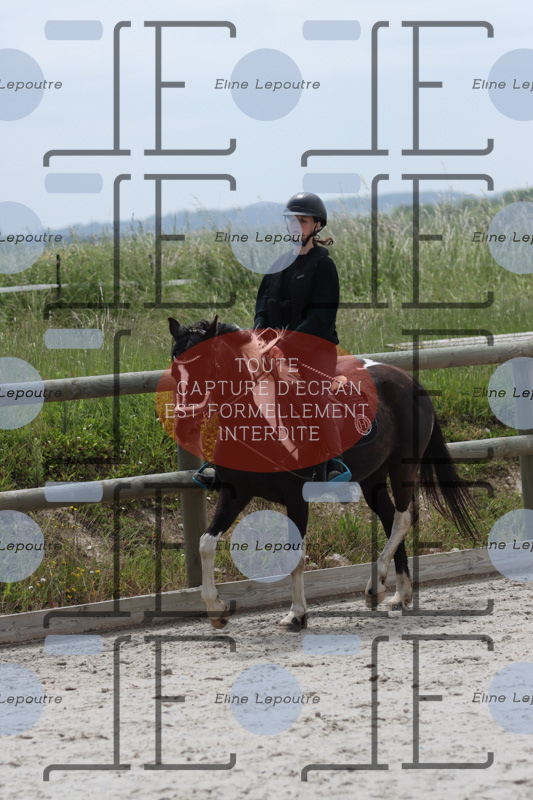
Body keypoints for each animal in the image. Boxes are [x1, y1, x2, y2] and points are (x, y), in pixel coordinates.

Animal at [168, 316, 477, 631]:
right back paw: (397, 593)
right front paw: (216, 609)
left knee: (403, 519)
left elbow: (295, 554)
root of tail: (408, 378)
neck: (257, 421)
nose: (183, 424)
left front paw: (296, 614)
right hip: (372, 478)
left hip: (402, 466)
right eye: (174, 369)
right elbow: (205, 543)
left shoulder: (297, 498)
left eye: (206, 366)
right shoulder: (235, 492)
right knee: (391, 519)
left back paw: (374, 586)